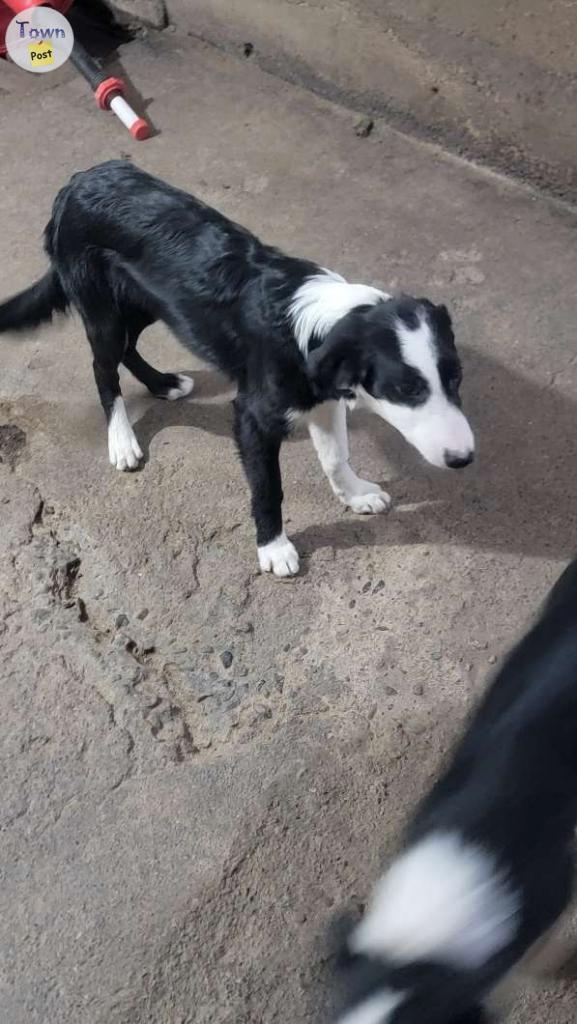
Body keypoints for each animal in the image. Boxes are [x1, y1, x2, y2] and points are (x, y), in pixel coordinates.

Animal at [0, 159, 473, 577]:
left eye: (456, 379)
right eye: (405, 390)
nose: (464, 459)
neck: (319, 327)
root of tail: (76, 183)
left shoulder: (321, 397)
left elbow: (337, 457)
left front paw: (355, 494)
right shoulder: (253, 418)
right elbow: (268, 487)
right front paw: (274, 547)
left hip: (149, 302)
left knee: (128, 348)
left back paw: (162, 383)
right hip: (102, 309)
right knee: (104, 368)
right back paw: (121, 440)